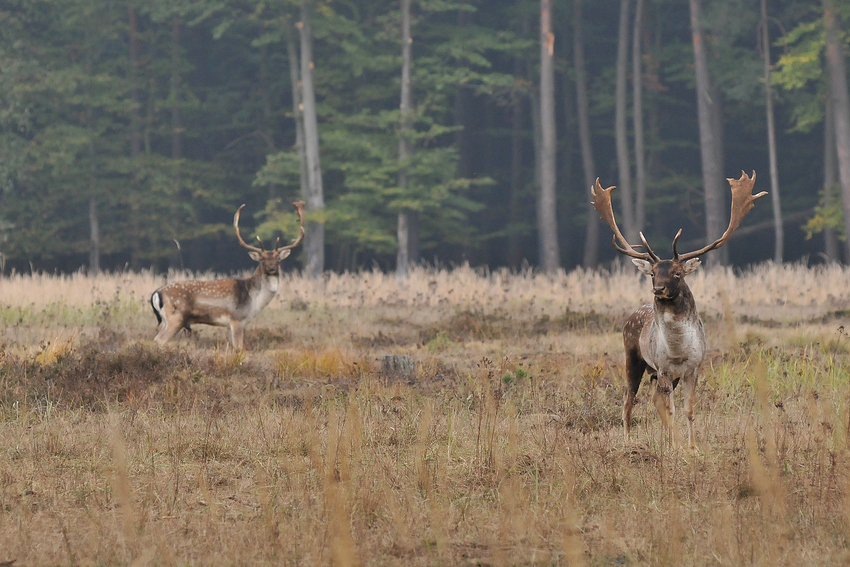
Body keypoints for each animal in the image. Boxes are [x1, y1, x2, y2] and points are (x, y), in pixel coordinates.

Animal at [151, 200, 306, 350]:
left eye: (278, 259)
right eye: (262, 259)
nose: (272, 268)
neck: (254, 301)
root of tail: (156, 293)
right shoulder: (237, 319)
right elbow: (238, 348)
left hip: (167, 320)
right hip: (175, 317)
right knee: (159, 339)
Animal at [592, 173, 764, 448]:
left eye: (677, 273)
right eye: (653, 273)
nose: (658, 289)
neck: (678, 352)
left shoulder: (694, 367)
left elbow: (688, 409)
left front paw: (691, 446)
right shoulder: (663, 367)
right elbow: (671, 408)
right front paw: (675, 446)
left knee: (653, 399)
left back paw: (665, 438)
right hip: (633, 356)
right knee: (629, 399)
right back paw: (630, 440)